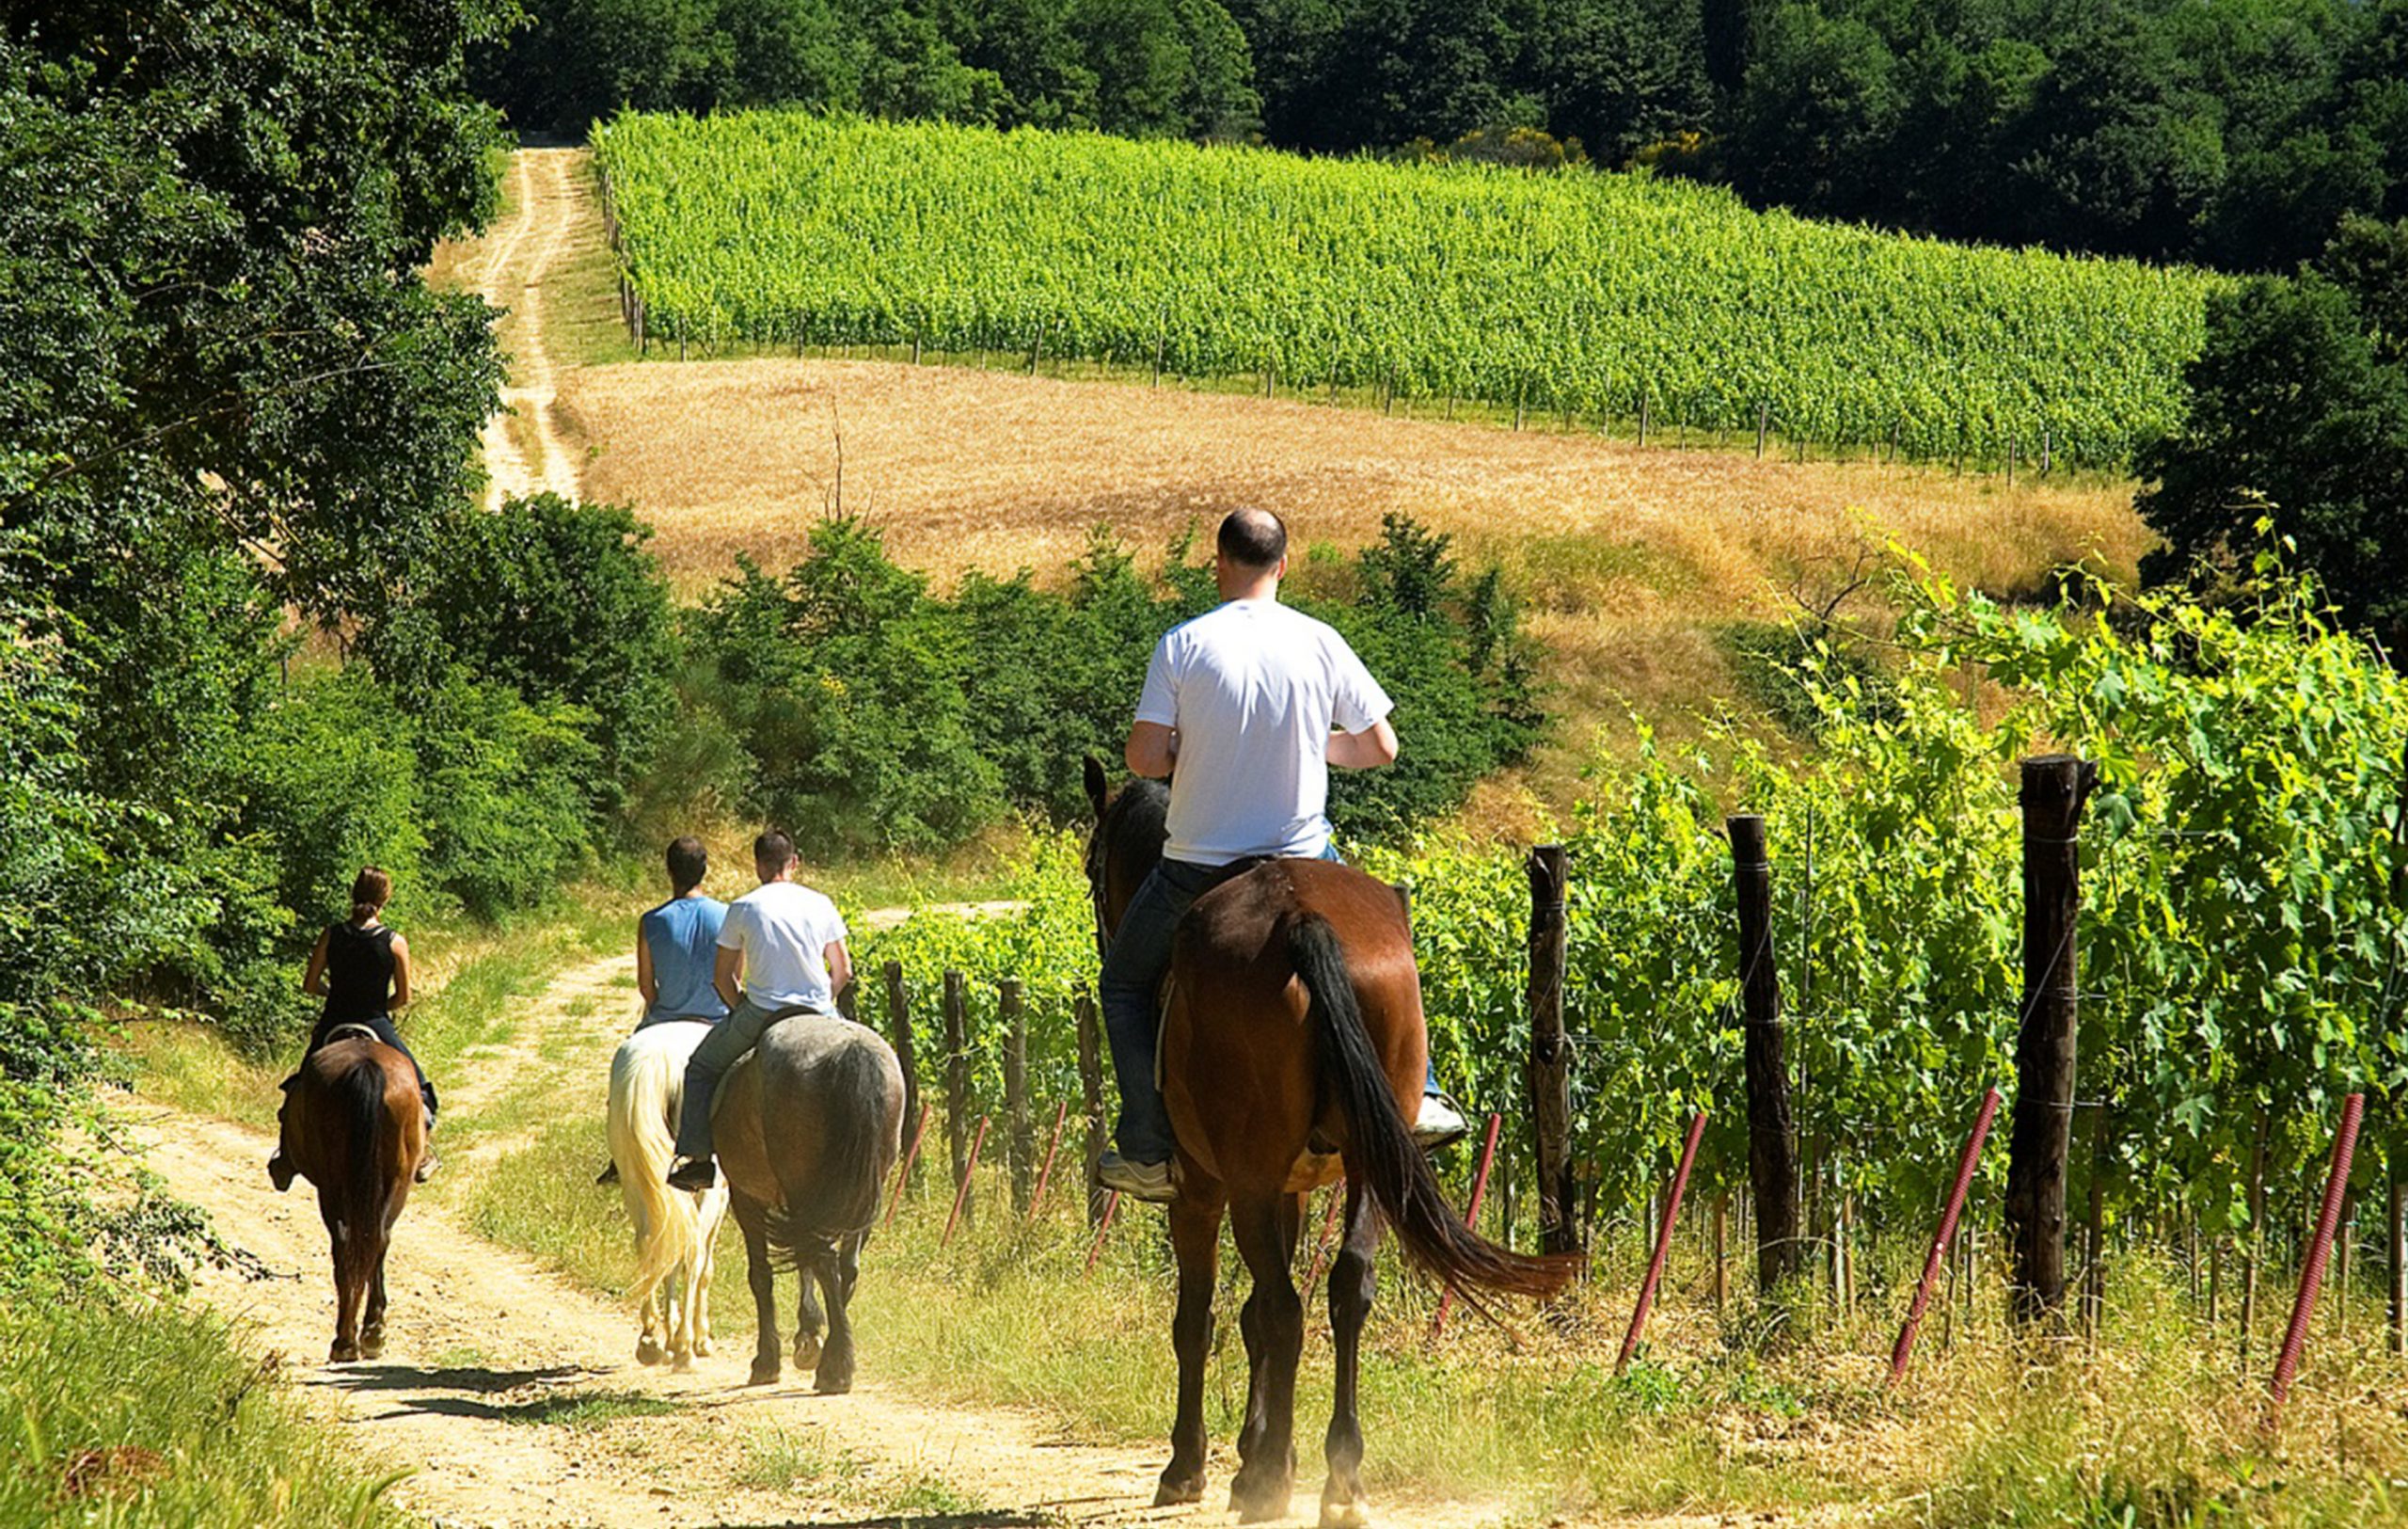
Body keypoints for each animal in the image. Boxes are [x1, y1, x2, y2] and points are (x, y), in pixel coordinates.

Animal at [277, 1030, 433, 1367]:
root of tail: (367, 1067)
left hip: (335, 1186)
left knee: (349, 1243)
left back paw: (347, 1340)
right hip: (395, 1182)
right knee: (375, 1240)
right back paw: (365, 1335)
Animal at [607, 1021, 727, 1367]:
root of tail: (655, 1060)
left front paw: (669, 1332)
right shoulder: (721, 1197)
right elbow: (704, 1267)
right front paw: (697, 1338)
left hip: (635, 1180)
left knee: (647, 1242)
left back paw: (649, 1338)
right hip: (704, 1192)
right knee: (694, 1255)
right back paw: (686, 1346)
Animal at [1088, 765, 1579, 1529]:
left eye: (1091, 867)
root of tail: (1301, 919)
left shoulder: (1202, 1191)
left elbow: (1201, 1318)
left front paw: (1194, 1466)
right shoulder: (1287, 1188)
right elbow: (1252, 1316)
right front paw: (1262, 1453)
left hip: (1250, 1179)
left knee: (1286, 1308)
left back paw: (1270, 1485)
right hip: (1373, 1163)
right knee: (1347, 1288)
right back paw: (1341, 1477)